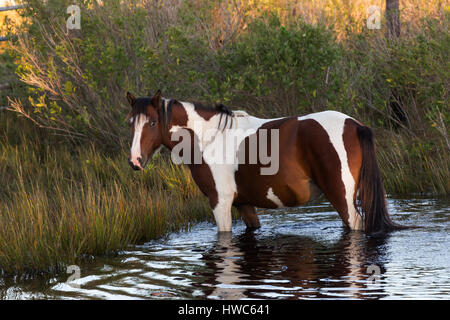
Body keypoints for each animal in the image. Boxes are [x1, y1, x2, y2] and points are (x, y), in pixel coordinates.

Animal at [125, 91, 408, 234]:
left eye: (153, 122)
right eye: (131, 122)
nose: (135, 161)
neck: (209, 137)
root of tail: (355, 125)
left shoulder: (220, 203)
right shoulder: (244, 204)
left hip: (343, 199)